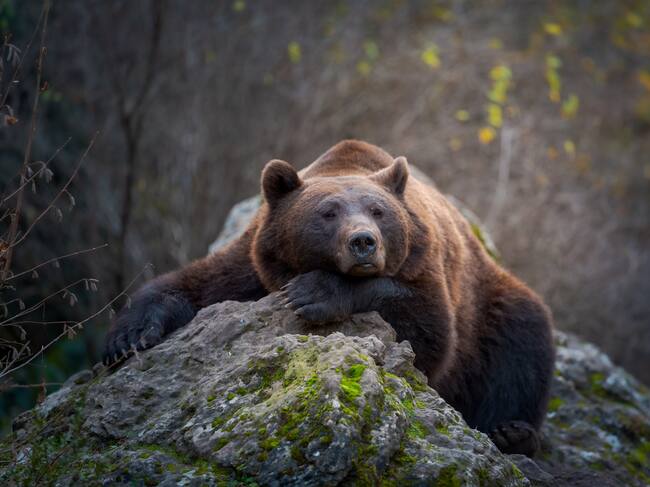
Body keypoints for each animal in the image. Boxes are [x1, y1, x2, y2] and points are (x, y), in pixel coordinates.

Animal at [103, 140, 555, 457]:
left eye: (378, 211)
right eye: (328, 212)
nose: (364, 243)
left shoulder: (427, 268)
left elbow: (427, 333)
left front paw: (313, 293)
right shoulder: (255, 263)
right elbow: (196, 284)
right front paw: (127, 337)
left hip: (492, 304)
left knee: (520, 349)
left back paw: (512, 432)